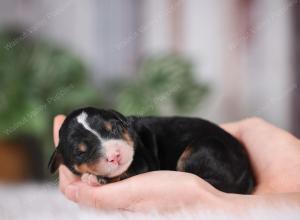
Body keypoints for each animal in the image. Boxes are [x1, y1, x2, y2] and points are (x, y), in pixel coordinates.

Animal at [49, 107, 255, 193]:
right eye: (80, 152)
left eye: (114, 129)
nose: (115, 156)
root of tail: (247, 174)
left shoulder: (142, 162)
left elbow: (124, 172)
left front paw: (95, 178)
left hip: (202, 149)